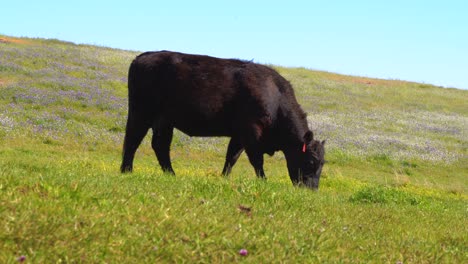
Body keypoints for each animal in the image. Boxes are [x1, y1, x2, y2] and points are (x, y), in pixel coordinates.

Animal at [120, 50, 326, 190]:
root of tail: (142, 57)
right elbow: (256, 160)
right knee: (132, 140)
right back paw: (126, 171)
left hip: (164, 121)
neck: (275, 97)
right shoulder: (251, 132)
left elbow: (231, 157)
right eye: (311, 161)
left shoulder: (239, 135)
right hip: (141, 113)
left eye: (323, 163)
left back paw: (171, 174)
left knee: (160, 145)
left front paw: (224, 177)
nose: (312, 189)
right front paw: (263, 181)